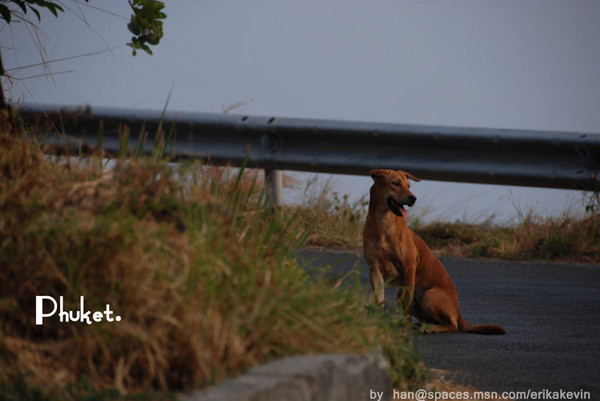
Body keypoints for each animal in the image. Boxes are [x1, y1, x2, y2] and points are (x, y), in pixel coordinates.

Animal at [364, 169, 504, 334]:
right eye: (396, 183)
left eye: (409, 185)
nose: (413, 198)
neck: (383, 224)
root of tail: (458, 312)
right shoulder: (374, 269)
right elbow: (379, 299)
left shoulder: (408, 267)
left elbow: (407, 303)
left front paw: (404, 326)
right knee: (432, 320)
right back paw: (421, 325)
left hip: (429, 296)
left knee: (452, 325)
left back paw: (429, 328)